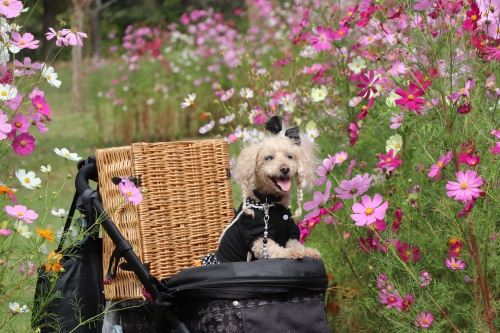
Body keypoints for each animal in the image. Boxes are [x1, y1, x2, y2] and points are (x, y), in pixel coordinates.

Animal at [198, 115, 320, 266]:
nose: (285, 168)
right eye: (268, 158)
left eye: (290, 156)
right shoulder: (258, 238)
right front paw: (292, 253)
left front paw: (309, 251)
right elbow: (278, 250)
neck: (269, 202)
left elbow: (297, 245)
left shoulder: (290, 233)